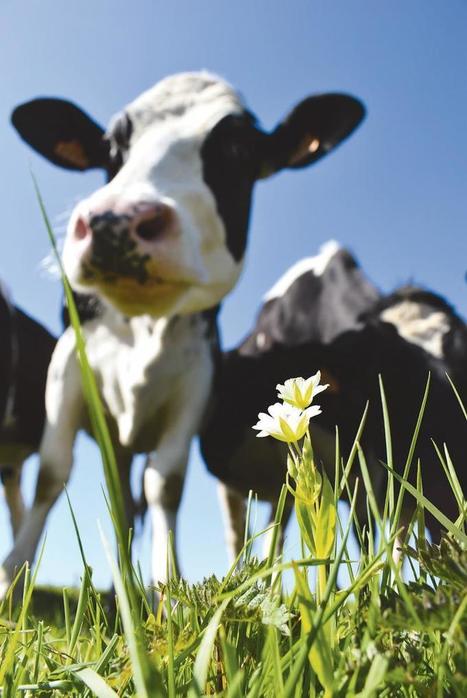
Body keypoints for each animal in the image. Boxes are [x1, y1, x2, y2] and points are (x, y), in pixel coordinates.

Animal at [0, 72, 366, 592]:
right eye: (112, 146)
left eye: (237, 149)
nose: (116, 221)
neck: (145, 322)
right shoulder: (69, 366)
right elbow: (53, 473)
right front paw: (13, 580)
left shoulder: (196, 383)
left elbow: (165, 484)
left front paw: (166, 587)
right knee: (117, 497)